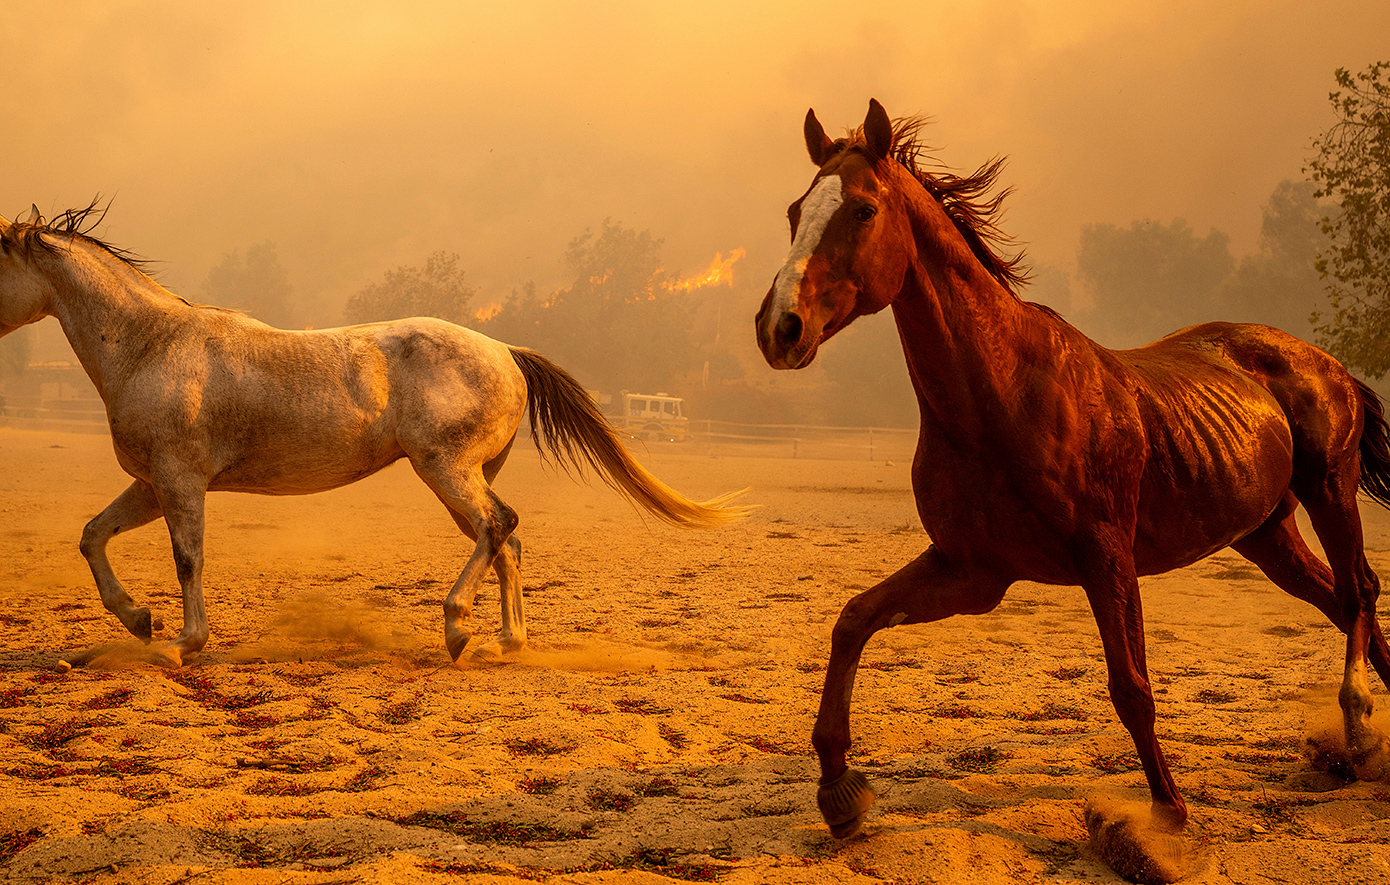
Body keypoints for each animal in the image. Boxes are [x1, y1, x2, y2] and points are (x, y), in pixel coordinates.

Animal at [0, 205, 750, 661]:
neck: (151, 345)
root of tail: (505, 351)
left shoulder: (180, 481)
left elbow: (189, 558)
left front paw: (184, 641)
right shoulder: (152, 484)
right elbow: (92, 536)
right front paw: (139, 620)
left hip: (445, 469)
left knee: (498, 527)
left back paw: (458, 625)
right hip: (463, 475)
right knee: (505, 540)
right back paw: (506, 642)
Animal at [756, 103, 1390, 855]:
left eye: (862, 209)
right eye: (795, 211)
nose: (779, 327)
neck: (1004, 393)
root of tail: (1327, 362)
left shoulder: (1106, 558)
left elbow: (1131, 686)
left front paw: (1167, 818)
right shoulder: (972, 571)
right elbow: (854, 619)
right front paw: (839, 793)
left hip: (1330, 490)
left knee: (1358, 592)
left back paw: (1358, 724)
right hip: (1266, 534)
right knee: (1340, 601)